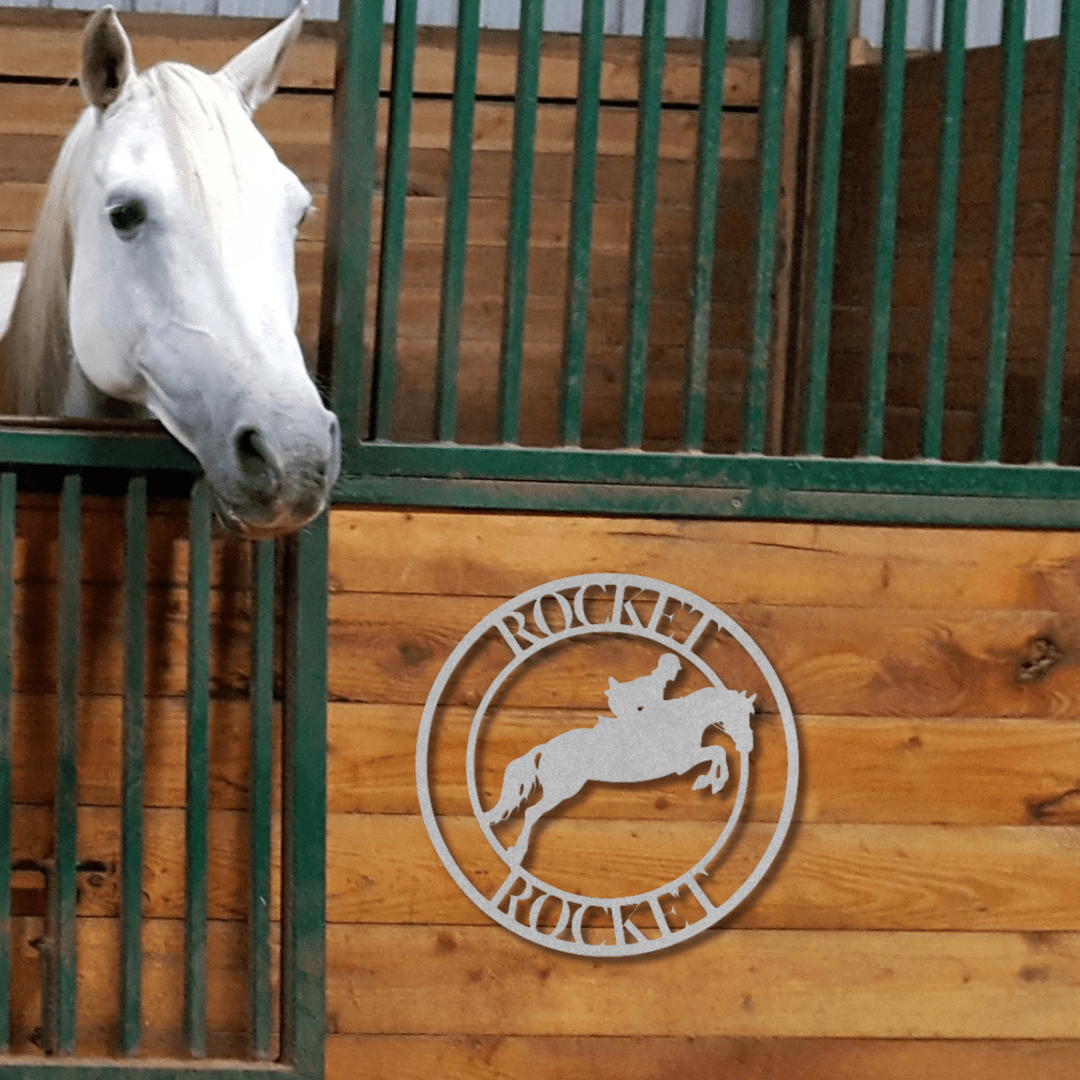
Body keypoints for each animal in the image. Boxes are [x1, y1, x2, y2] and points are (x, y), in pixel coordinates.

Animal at [486, 682, 756, 868]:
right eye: (737, 714)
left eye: (750, 715)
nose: (748, 745)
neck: (679, 722)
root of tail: (545, 748)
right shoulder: (682, 762)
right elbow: (717, 751)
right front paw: (712, 782)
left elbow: (717, 752)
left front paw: (711, 782)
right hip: (562, 791)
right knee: (532, 813)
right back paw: (516, 853)